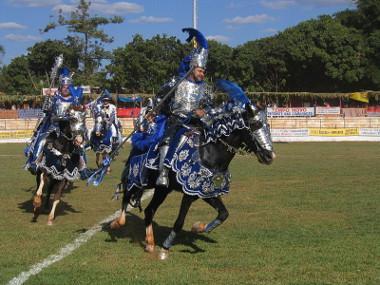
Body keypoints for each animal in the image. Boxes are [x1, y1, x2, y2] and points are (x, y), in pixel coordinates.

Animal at [111, 99, 274, 258]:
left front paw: (199, 228)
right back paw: (118, 223)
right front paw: (165, 248)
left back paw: (150, 243)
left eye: (268, 125)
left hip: (162, 190)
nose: (269, 156)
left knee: (149, 210)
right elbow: (179, 222)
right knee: (126, 196)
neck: (209, 152)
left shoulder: (205, 192)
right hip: (136, 180)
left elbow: (223, 214)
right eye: (255, 124)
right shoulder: (188, 193)